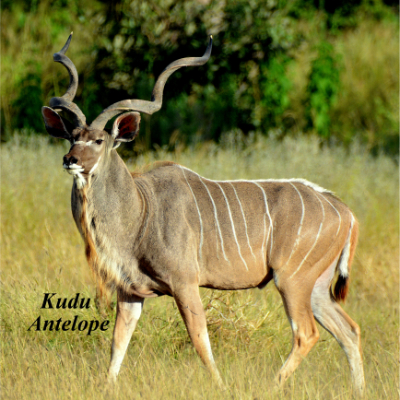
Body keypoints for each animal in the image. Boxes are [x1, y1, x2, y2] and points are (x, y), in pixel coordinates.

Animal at [41, 35, 366, 396]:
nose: (70, 159)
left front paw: (221, 387)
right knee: (349, 330)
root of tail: (344, 211)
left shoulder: (185, 284)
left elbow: (199, 339)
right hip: (317, 286)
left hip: (292, 280)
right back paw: (359, 391)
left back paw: (271, 386)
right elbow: (118, 343)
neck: (141, 211)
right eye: (72, 137)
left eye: (99, 140)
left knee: (307, 333)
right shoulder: (130, 292)